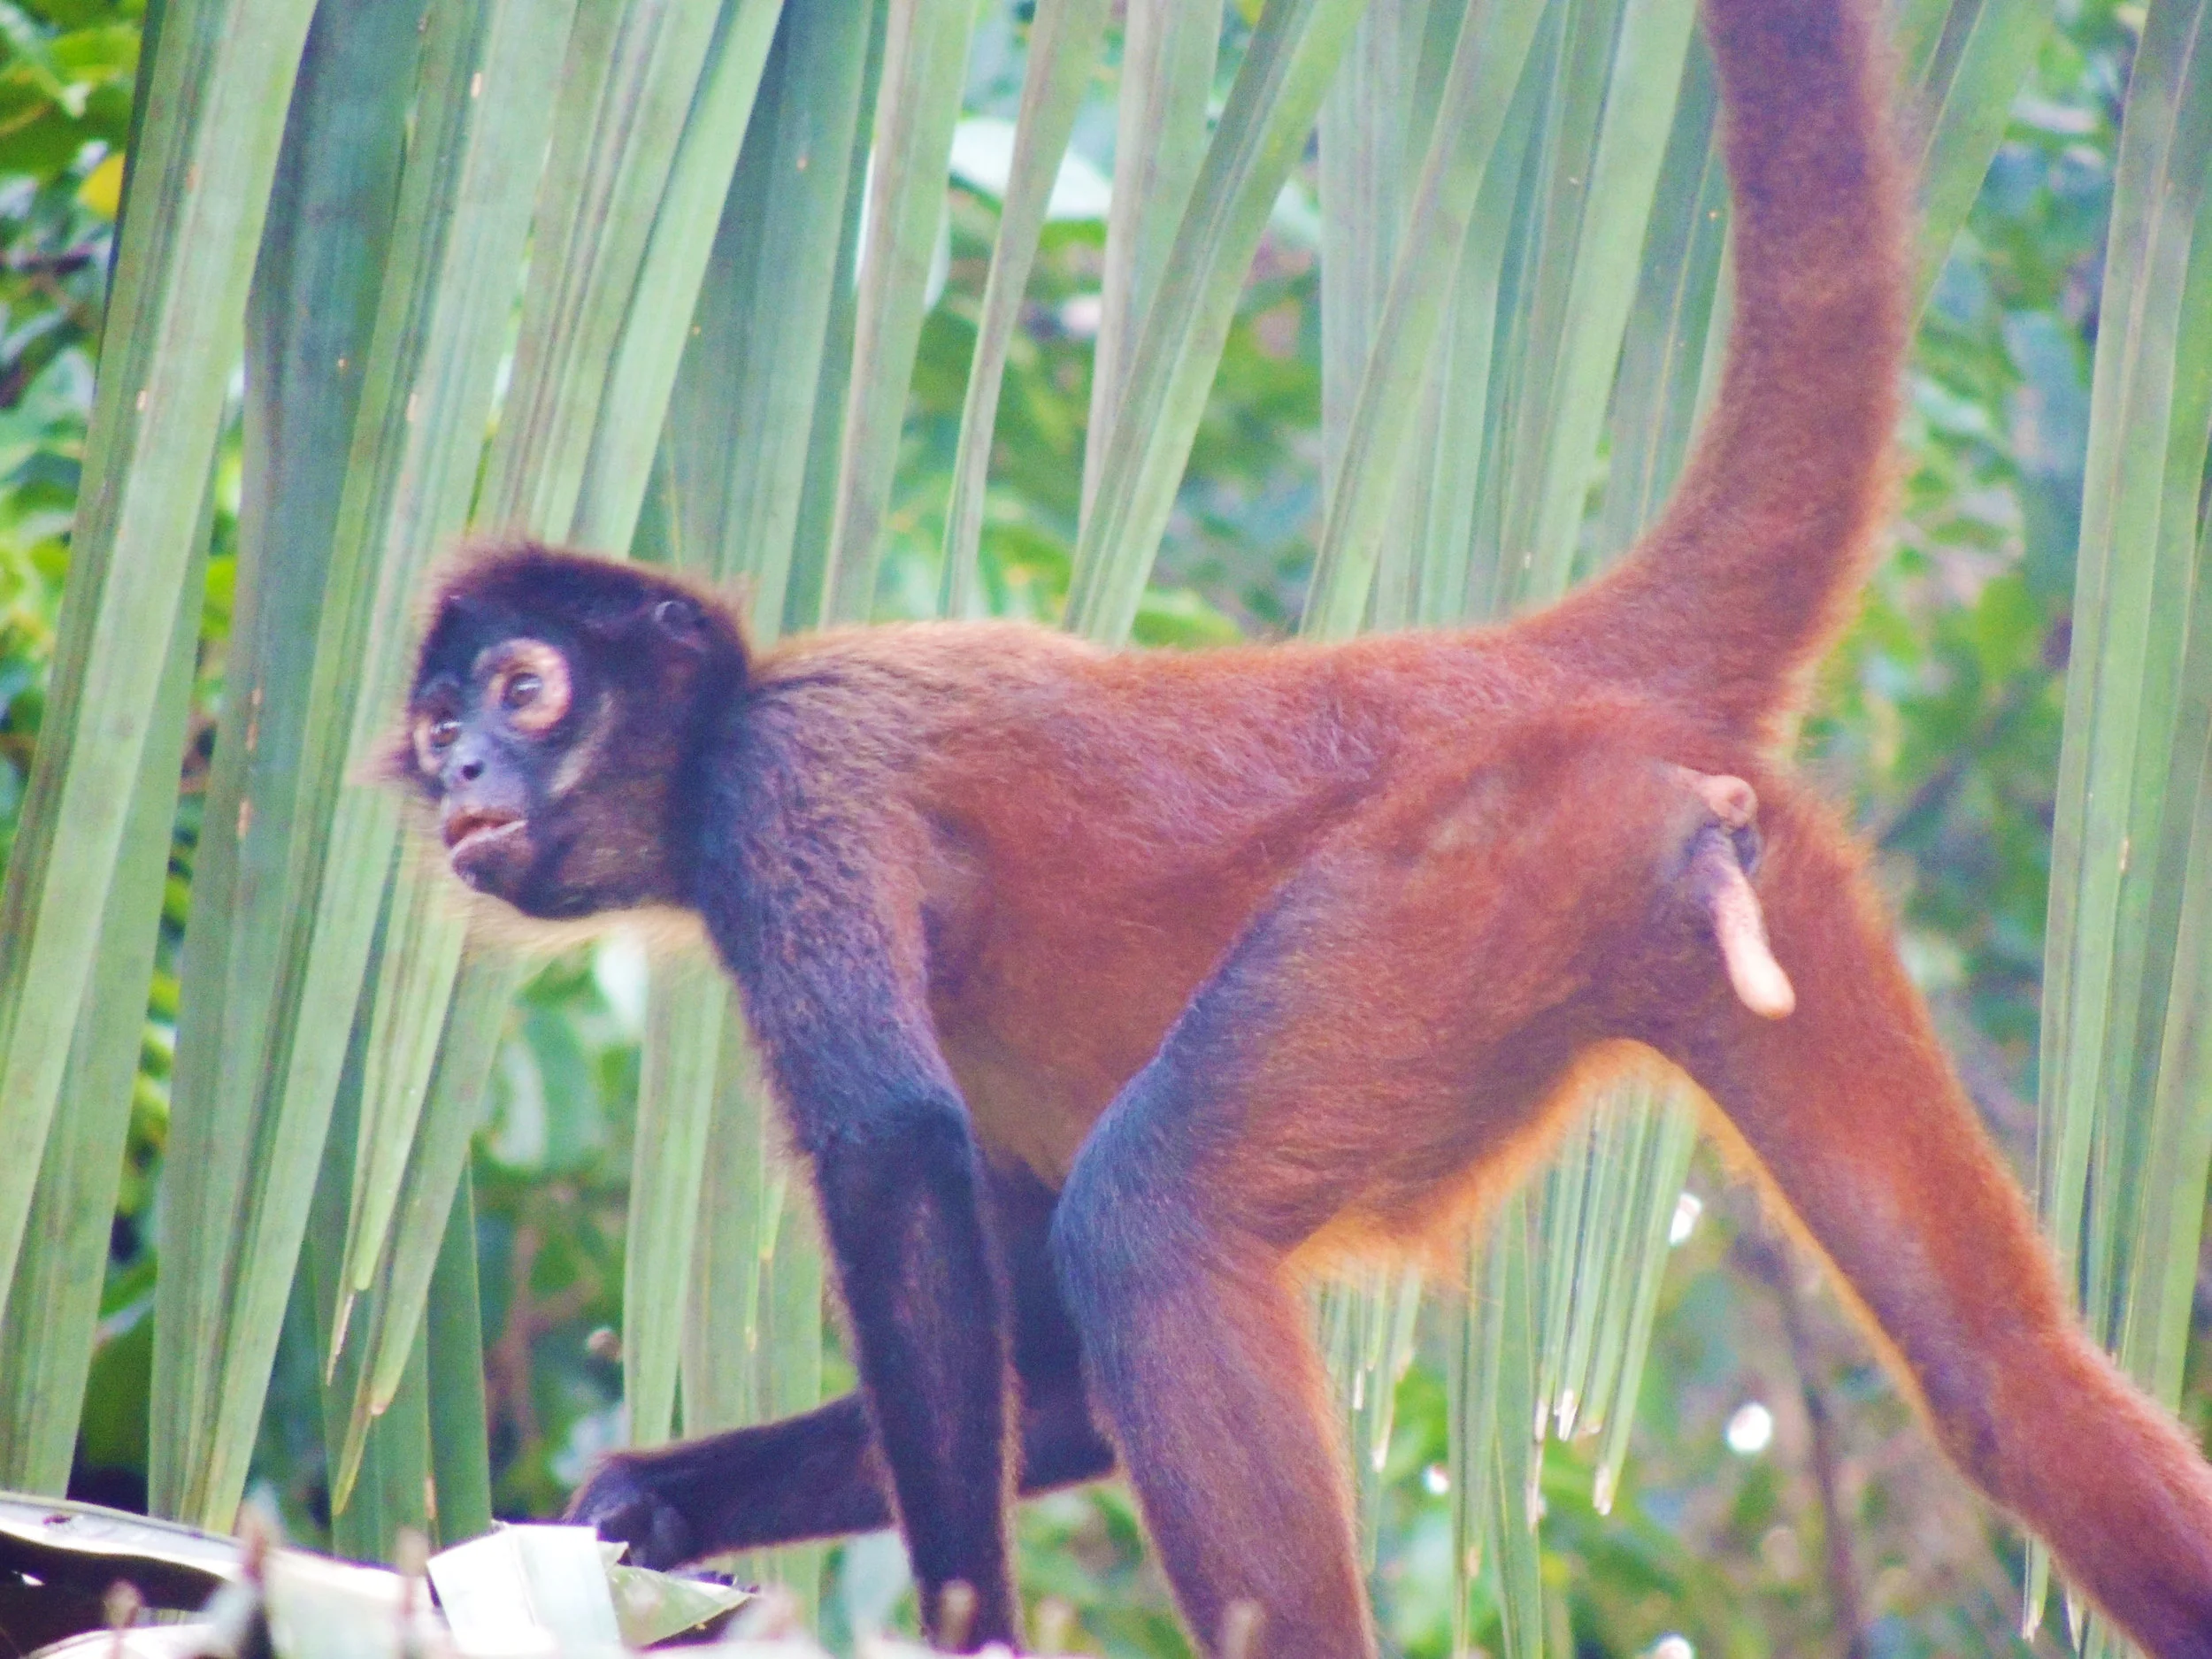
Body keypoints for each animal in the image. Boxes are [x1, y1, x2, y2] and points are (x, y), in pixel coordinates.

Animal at [391, 0, 2212, 1652]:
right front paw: (642, 1511)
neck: (717, 745)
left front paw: (964, 1626)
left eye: (530, 690)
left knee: (1155, 1219)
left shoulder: (786, 786)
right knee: (2004, 1373)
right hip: (1698, 890)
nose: (466, 768)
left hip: (1465, 884)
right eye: (438, 725)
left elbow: (902, 1159)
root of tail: (1501, 662)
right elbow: (1058, 1396)